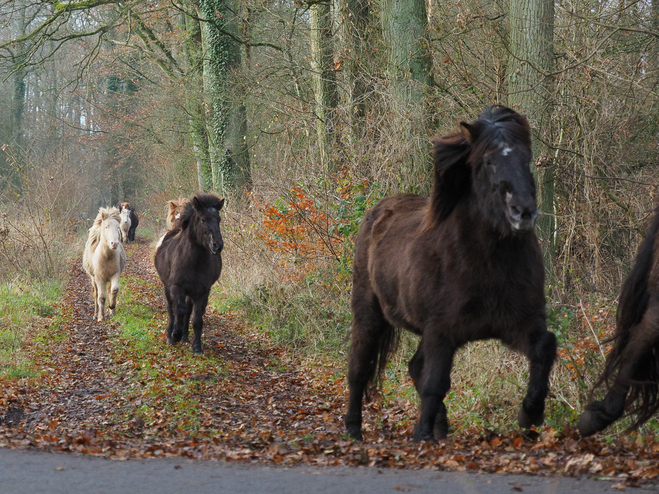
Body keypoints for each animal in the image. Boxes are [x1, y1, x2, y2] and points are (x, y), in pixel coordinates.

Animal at [153, 191, 226, 354]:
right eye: (203, 219)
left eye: (218, 220)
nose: (217, 245)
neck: (194, 261)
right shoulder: (176, 287)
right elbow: (178, 310)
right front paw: (175, 334)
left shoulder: (202, 292)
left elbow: (197, 319)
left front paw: (197, 346)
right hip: (168, 288)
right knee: (172, 309)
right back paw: (171, 335)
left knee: (188, 310)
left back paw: (185, 336)